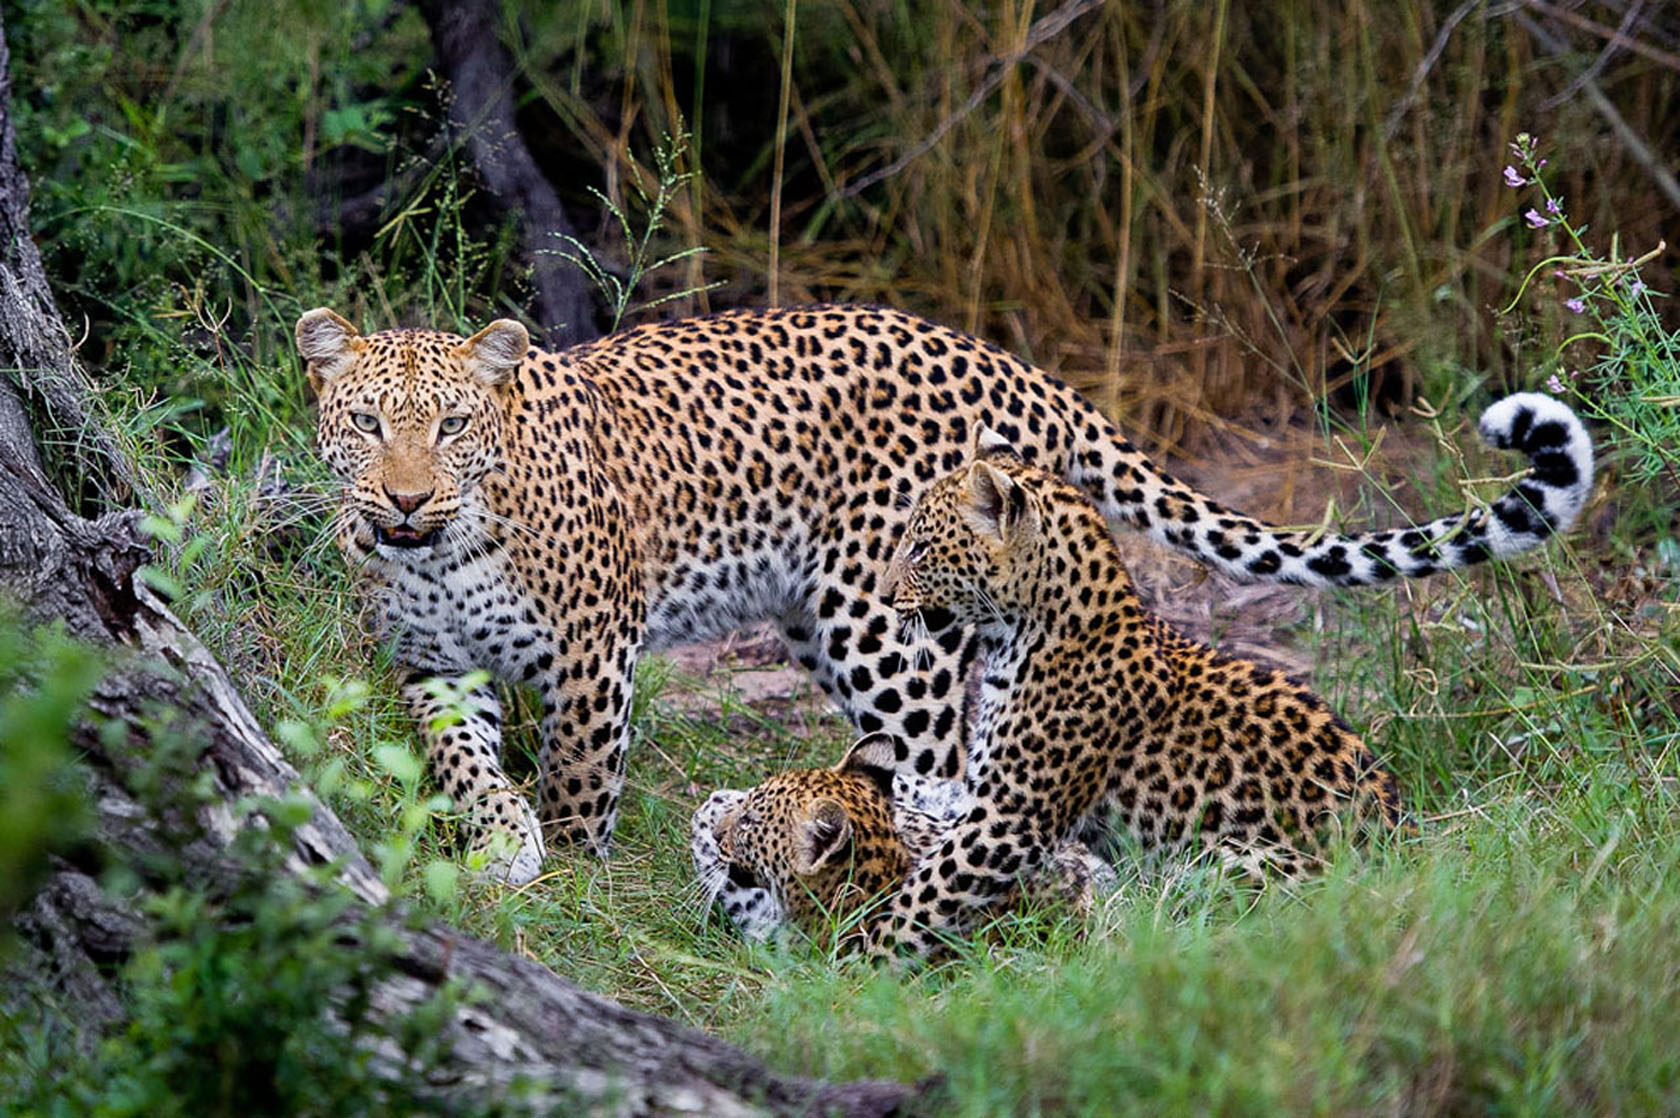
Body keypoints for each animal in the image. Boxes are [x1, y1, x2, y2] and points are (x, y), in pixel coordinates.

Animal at [298, 301, 1595, 883]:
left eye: (452, 428)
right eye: (365, 425)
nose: (403, 500)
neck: (443, 549)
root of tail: (998, 357)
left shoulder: (589, 654)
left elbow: (578, 776)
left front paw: (570, 868)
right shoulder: (432, 661)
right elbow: (462, 759)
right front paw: (501, 849)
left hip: (888, 629)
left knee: (940, 768)